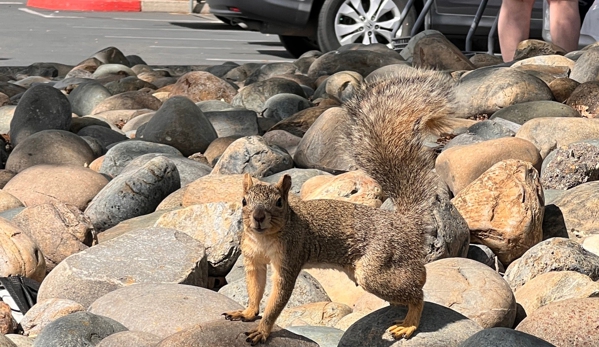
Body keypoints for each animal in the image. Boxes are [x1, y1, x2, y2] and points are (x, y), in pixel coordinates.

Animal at [223, 68, 458, 346]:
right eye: (244, 201)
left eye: (279, 202)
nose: (258, 217)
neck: (264, 239)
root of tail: (405, 223)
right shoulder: (253, 259)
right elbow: (254, 287)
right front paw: (247, 313)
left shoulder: (289, 257)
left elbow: (278, 298)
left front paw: (262, 330)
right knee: (416, 279)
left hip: (377, 268)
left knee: (418, 293)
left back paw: (409, 324)